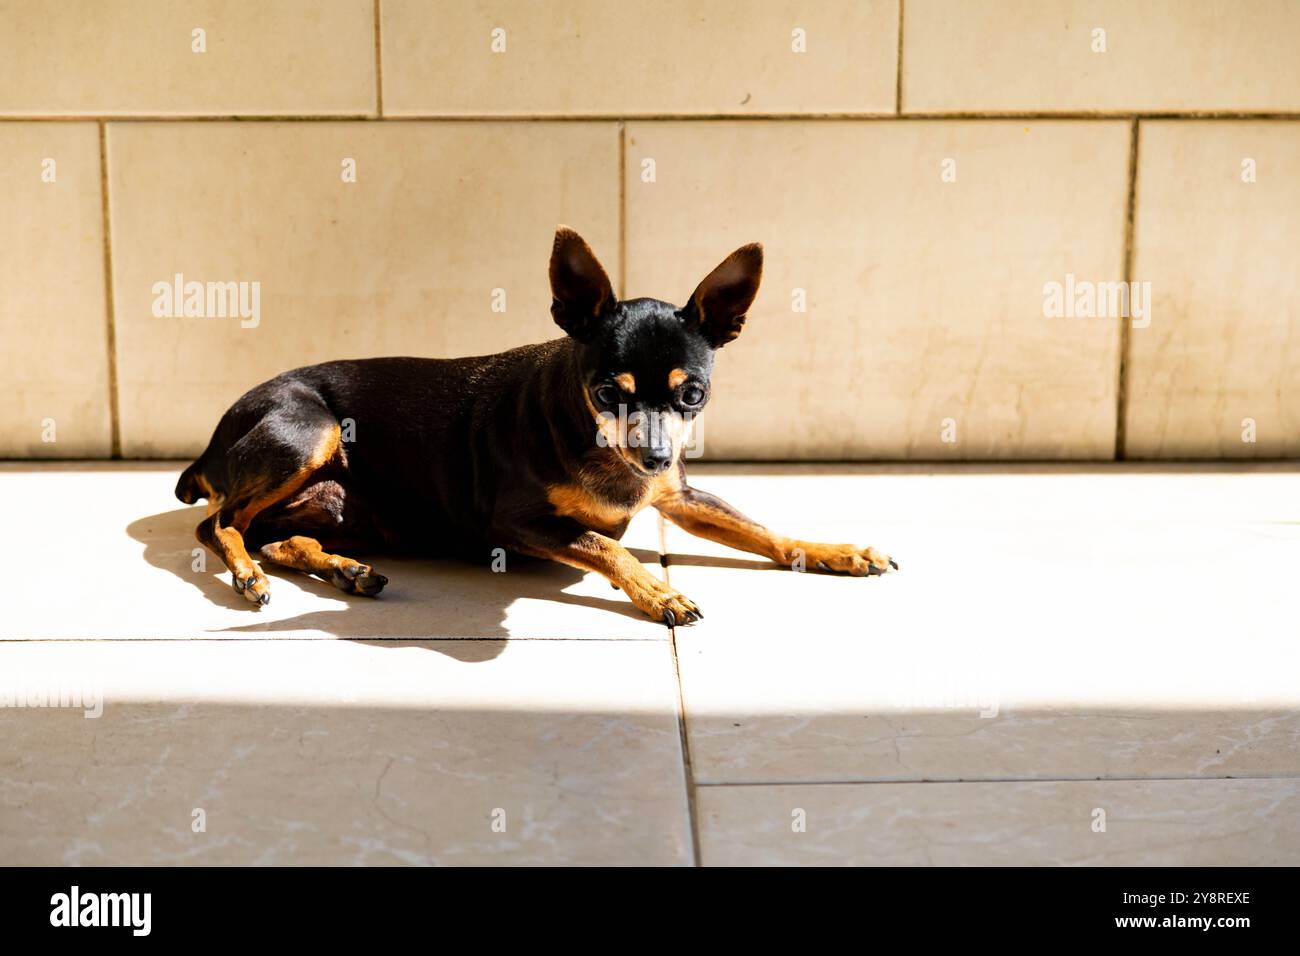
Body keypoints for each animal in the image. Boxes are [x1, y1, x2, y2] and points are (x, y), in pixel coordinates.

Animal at [175, 227, 894, 624]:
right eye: (605, 391)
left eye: (693, 394)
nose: (656, 457)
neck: (602, 452)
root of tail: (212, 442)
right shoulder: (515, 523)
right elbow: (609, 546)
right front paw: (658, 590)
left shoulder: (682, 497)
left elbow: (763, 531)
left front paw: (835, 551)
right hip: (310, 429)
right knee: (219, 524)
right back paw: (249, 577)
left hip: (331, 501)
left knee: (272, 534)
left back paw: (344, 569)